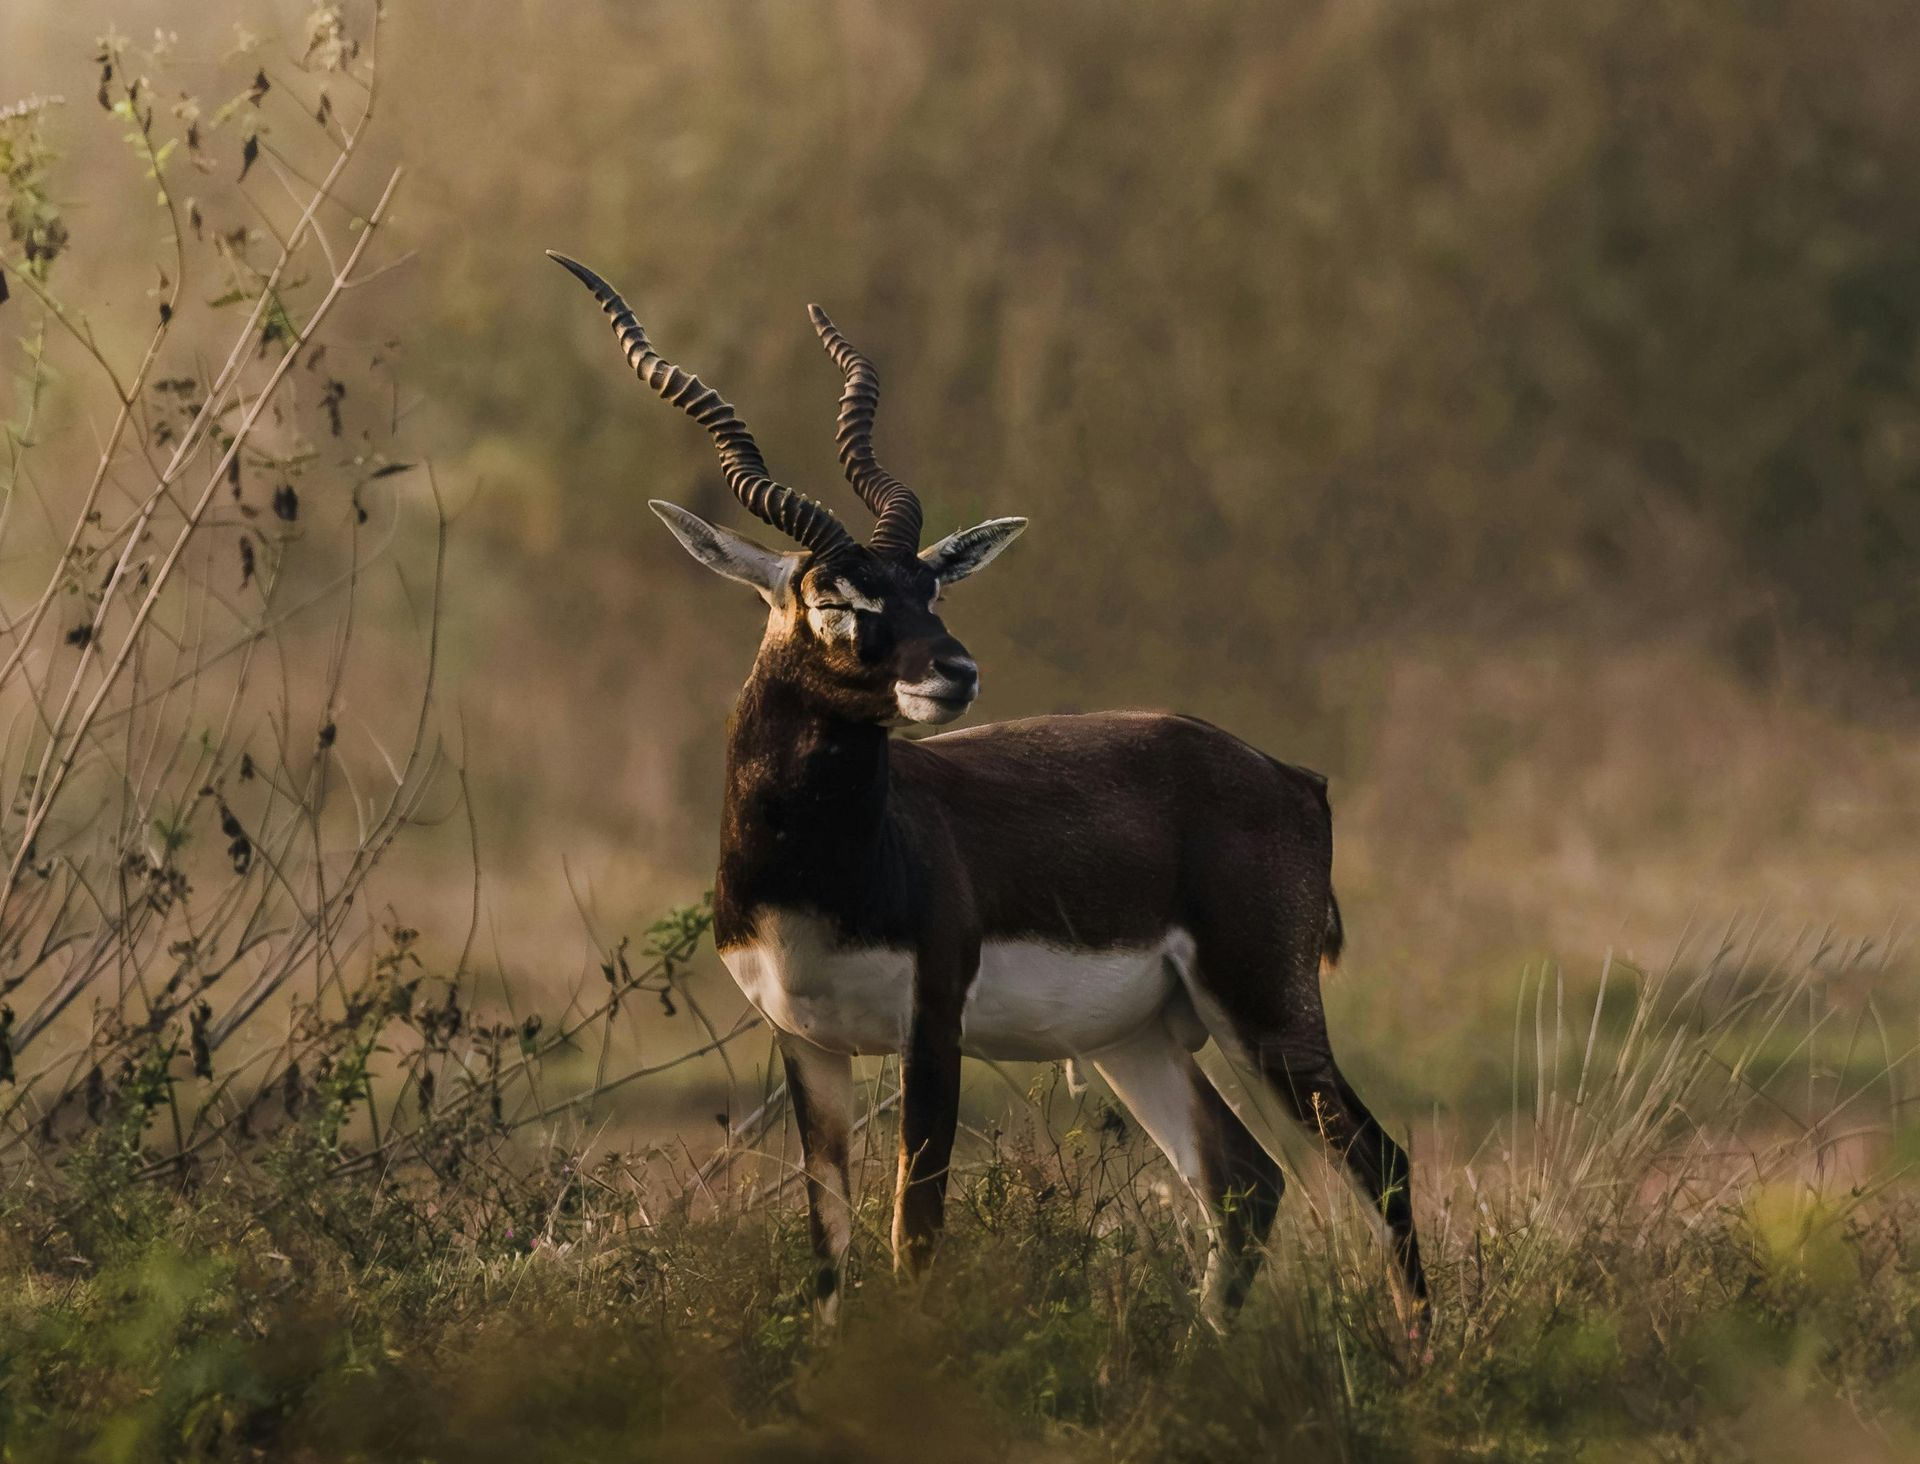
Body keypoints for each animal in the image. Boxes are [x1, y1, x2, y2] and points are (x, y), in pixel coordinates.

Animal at [549, 252, 1429, 1334]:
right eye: (831, 595)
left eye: (930, 586)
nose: (955, 671)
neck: (823, 869)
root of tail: (1290, 778)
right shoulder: (806, 1046)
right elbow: (830, 1250)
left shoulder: (934, 1029)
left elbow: (912, 1239)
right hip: (1140, 1037)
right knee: (1244, 1182)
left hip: (1263, 1007)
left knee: (1378, 1163)